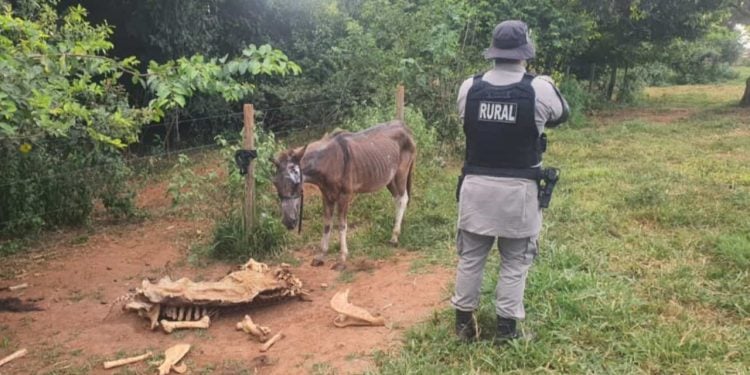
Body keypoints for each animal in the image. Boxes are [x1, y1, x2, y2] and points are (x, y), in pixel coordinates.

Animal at [274, 120, 420, 270]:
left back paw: (394, 237)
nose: (288, 222)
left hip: (401, 173)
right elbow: (327, 225)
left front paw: (342, 259)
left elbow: (342, 226)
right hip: (389, 179)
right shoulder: (326, 196)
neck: (329, 162)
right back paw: (399, 229)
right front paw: (321, 256)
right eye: (275, 184)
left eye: (296, 183)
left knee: (403, 199)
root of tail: (403, 126)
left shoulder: (344, 196)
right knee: (398, 199)